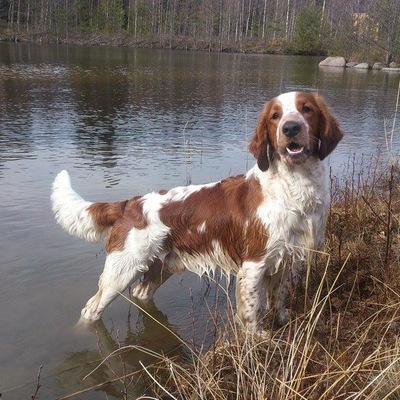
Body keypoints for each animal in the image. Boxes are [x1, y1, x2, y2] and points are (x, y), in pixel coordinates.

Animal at [51, 91, 343, 332]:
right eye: (275, 116)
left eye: (306, 109)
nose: (291, 128)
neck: (294, 186)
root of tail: (129, 204)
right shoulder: (253, 266)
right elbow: (251, 315)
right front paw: (259, 342)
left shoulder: (285, 259)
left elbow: (279, 302)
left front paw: (285, 326)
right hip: (121, 272)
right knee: (91, 309)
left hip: (159, 267)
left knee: (141, 294)